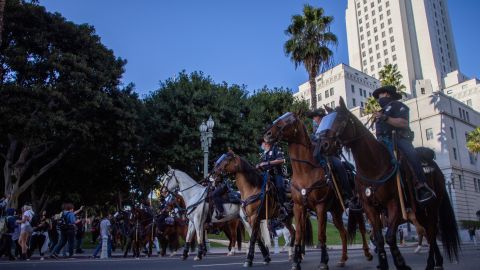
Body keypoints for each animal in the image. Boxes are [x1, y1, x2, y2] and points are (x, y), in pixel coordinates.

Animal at [262, 112, 372, 270]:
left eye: (289, 121)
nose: (267, 134)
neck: (305, 171)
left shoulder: (320, 207)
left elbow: (321, 235)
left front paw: (323, 261)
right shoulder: (299, 208)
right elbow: (299, 234)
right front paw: (296, 261)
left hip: (356, 207)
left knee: (362, 228)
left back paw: (368, 253)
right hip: (335, 211)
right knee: (343, 232)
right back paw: (343, 259)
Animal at [316, 97, 460, 270]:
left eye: (341, 119)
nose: (323, 146)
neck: (374, 166)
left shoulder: (395, 205)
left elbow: (390, 237)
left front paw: (401, 264)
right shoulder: (370, 208)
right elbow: (379, 238)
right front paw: (383, 263)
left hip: (432, 207)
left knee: (431, 232)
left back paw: (431, 263)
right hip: (419, 211)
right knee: (427, 231)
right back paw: (437, 262)